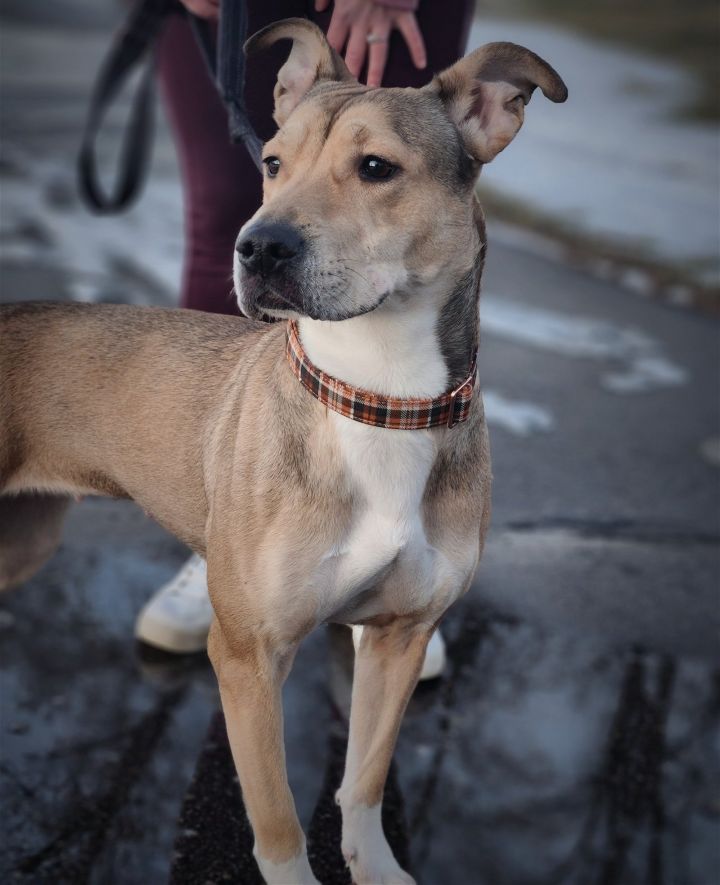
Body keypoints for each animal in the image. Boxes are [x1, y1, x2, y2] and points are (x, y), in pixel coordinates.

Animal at [0, 19, 564, 876]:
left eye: (376, 168)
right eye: (271, 163)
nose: (259, 247)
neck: (380, 397)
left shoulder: (397, 638)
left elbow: (363, 781)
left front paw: (379, 868)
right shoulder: (248, 658)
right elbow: (278, 820)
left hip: (23, 539)